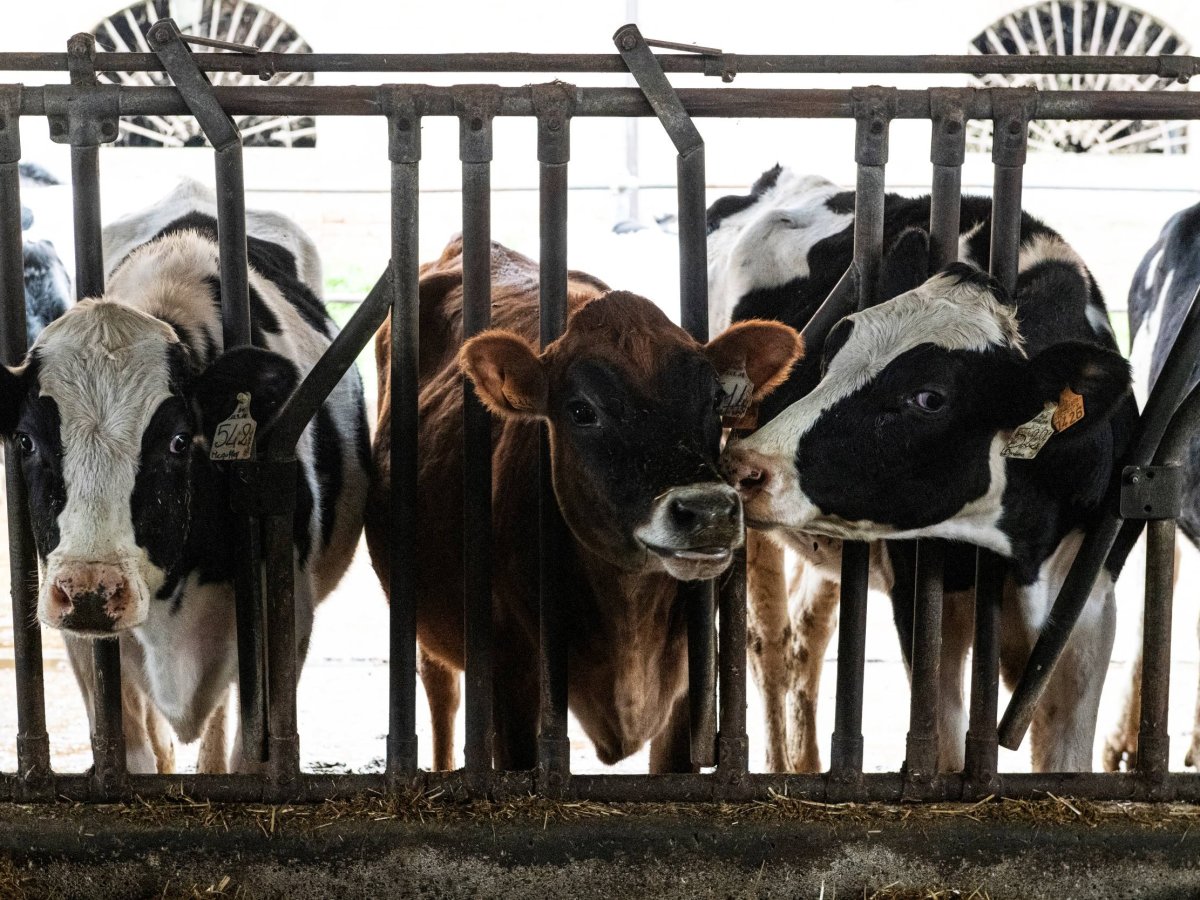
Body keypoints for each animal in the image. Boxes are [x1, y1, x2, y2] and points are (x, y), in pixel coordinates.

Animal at [0, 184, 369, 777]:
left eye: (177, 441)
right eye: (27, 441)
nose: (89, 590)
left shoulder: (284, 616)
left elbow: (251, 749)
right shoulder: (81, 641)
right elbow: (129, 753)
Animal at [362, 240, 796, 777]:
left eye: (715, 401)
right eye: (581, 410)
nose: (709, 511)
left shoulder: (692, 683)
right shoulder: (512, 676)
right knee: (439, 686)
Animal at [710, 164, 1132, 777]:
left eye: (929, 398)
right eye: (829, 358)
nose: (747, 464)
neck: (1025, 549)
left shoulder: (1091, 602)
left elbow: (1067, 760)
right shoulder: (924, 596)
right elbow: (945, 751)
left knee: (807, 636)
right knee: (767, 641)